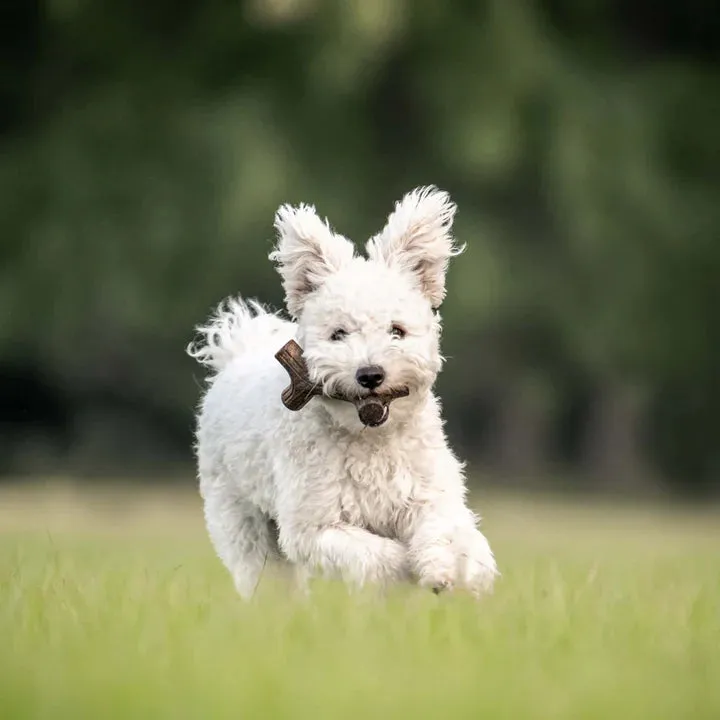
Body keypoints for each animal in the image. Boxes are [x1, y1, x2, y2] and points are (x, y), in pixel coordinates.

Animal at [188, 186, 498, 596]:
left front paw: (457, 569)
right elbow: (378, 556)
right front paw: (409, 570)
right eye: (338, 334)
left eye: (397, 330)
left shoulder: (429, 494)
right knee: (265, 574)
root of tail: (237, 350)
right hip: (241, 520)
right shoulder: (315, 526)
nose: (370, 374)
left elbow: (448, 530)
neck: (371, 439)